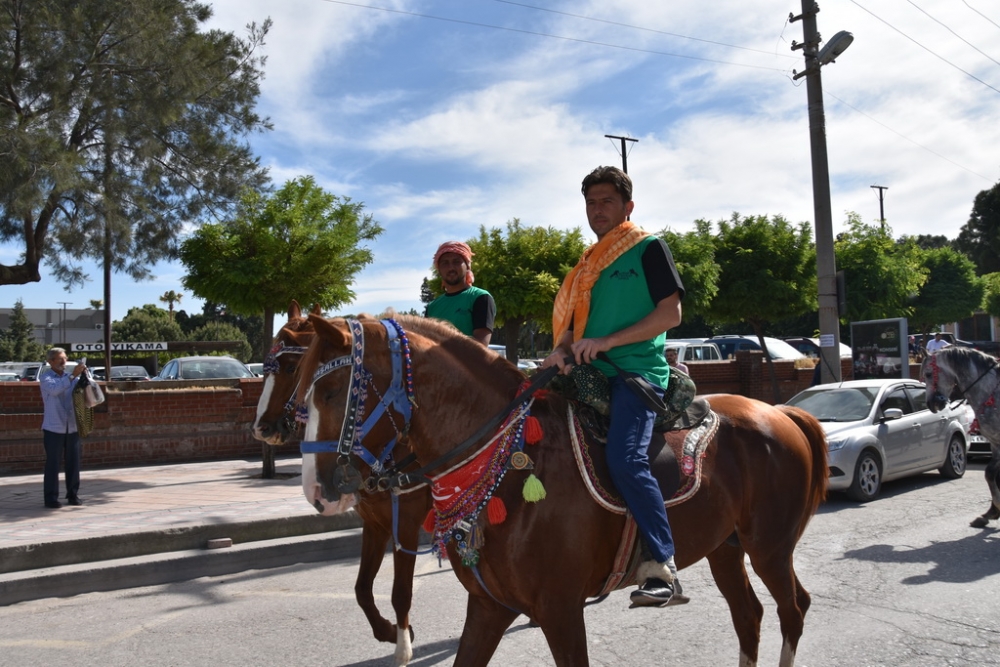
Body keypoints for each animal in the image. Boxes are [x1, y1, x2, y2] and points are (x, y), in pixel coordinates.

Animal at [248, 304, 432, 667]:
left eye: (292, 367)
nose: (262, 427)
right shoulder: (375, 523)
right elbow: (362, 589)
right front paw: (388, 630)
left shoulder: (405, 524)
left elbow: (401, 592)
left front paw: (402, 644)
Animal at [296, 314, 828, 667]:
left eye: (332, 392)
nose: (316, 490)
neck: (507, 465)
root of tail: (781, 411)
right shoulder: (489, 607)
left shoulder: (560, 610)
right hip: (725, 548)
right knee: (749, 616)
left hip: (770, 547)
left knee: (793, 610)